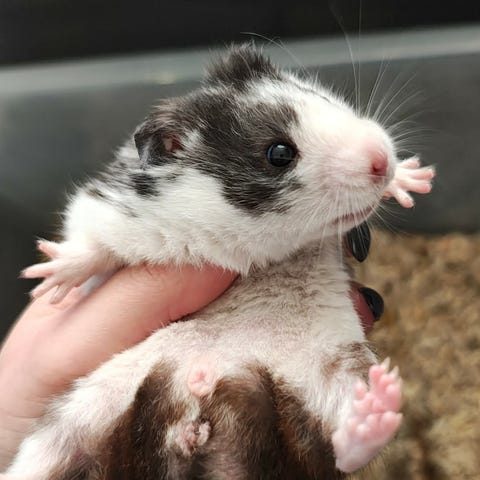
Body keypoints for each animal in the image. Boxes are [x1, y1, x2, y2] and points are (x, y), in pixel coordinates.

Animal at [4, 44, 434, 480]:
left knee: (338, 443)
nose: (382, 159)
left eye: (325, 99)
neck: (262, 254)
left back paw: (379, 404)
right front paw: (47, 277)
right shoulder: (103, 208)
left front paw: (414, 178)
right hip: (66, 429)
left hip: (332, 372)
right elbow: (93, 247)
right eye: (279, 153)